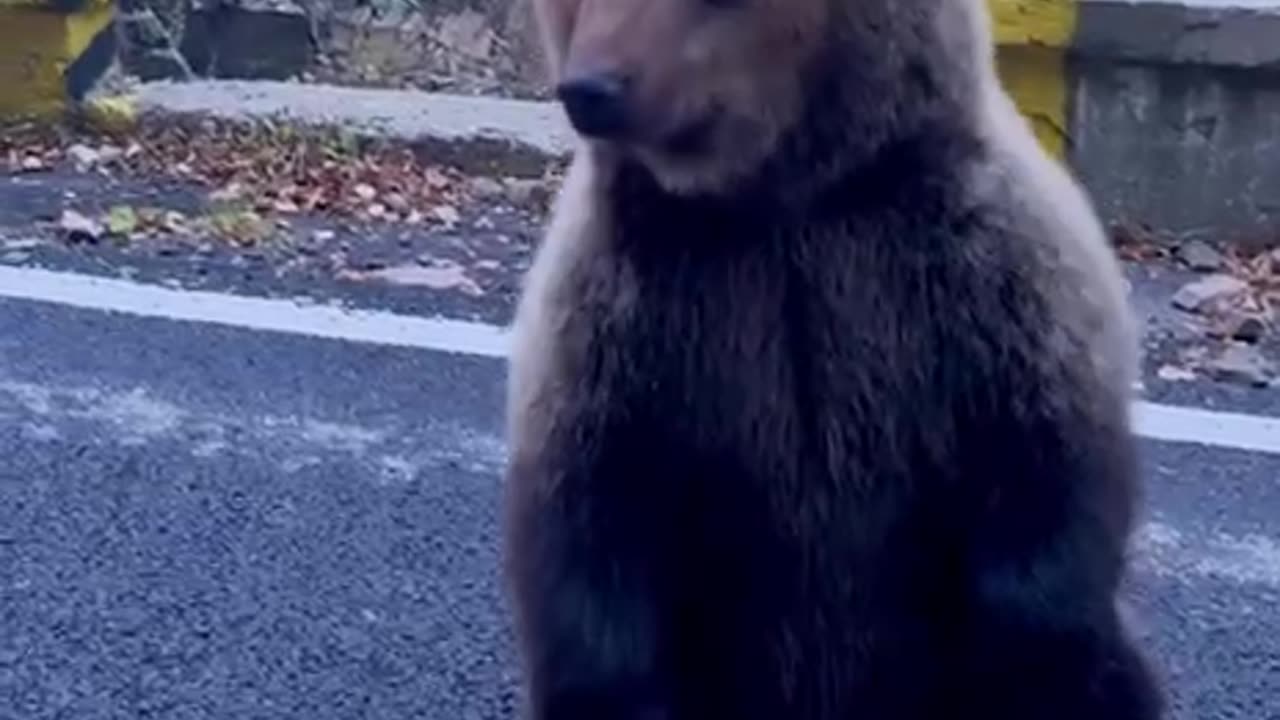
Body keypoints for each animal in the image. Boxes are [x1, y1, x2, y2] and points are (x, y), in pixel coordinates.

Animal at [499, 0, 1172, 712]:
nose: (591, 89)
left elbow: (1039, 496)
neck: (783, 202)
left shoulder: (977, 284)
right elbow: (596, 530)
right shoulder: (631, 316)